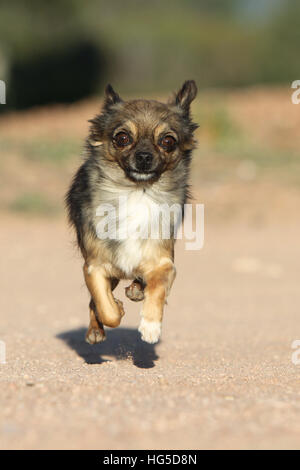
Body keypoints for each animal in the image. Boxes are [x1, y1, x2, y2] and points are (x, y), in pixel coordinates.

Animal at [65, 81, 197, 344]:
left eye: (168, 141)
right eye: (122, 138)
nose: (144, 156)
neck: (138, 192)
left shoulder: (164, 262)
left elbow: (158, 289)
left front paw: (151, 326)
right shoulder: (94, 267)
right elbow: (106, 308)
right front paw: (115, 309)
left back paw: (136, 290)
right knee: (94, 301)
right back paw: (95, 329)